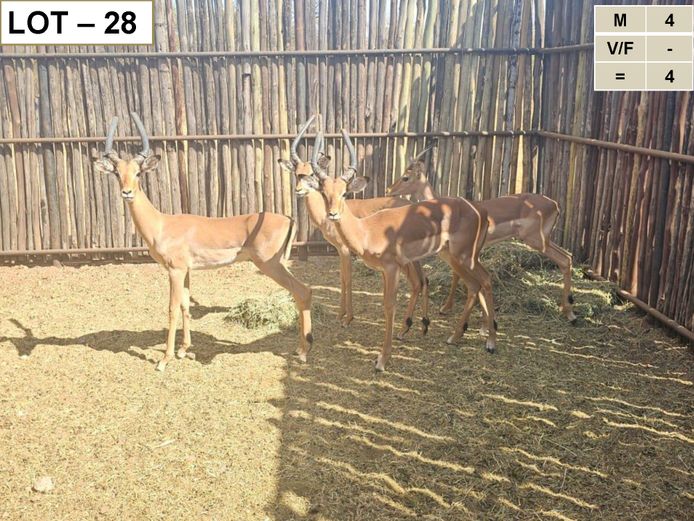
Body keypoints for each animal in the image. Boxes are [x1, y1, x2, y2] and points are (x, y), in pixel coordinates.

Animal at [93, 113, 313, 371]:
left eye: (138, 173)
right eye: (118, 173)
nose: (127, 192)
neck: (162, 224)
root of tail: (288, 218)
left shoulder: (175, 270)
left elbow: (172, 309)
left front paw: (164, 360)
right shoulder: (187, 271)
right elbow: (186, 306)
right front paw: (183, 350)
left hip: (270, 265)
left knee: (303, 291)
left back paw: (303, 352)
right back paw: (300, 349)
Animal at [278, 116, 429, 339]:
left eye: (311, 174)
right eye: (297, 174)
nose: (298, 190)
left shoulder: (344, 249)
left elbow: (347, 279)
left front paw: (346, 318)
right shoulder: (339, 250)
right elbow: (342, 278)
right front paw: (342, 315)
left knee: (417, 282)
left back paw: (405, 328)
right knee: (424, 280)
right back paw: (423, 325)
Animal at [308, 128, 497, 371]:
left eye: (344, 193)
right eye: (324, 192)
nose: (332, 214)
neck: (366, 230)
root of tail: (478, 210)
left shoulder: (392, 268)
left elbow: (390, 305)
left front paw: (382, 359)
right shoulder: (383, 270)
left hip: (464, 257)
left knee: (484, 280)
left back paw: (490, 342)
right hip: (456, 257)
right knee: (475, 285)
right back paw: (456, 336)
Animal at [387, 151, 577, 323]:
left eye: (405, 177)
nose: (390, 191)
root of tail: (554, 204)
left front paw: (449, 309)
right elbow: (459, 275)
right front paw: (450, 308)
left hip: (536, 240)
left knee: (564, 259)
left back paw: (570, 314)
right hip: (545, 239)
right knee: (568, 256)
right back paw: (568, 309)